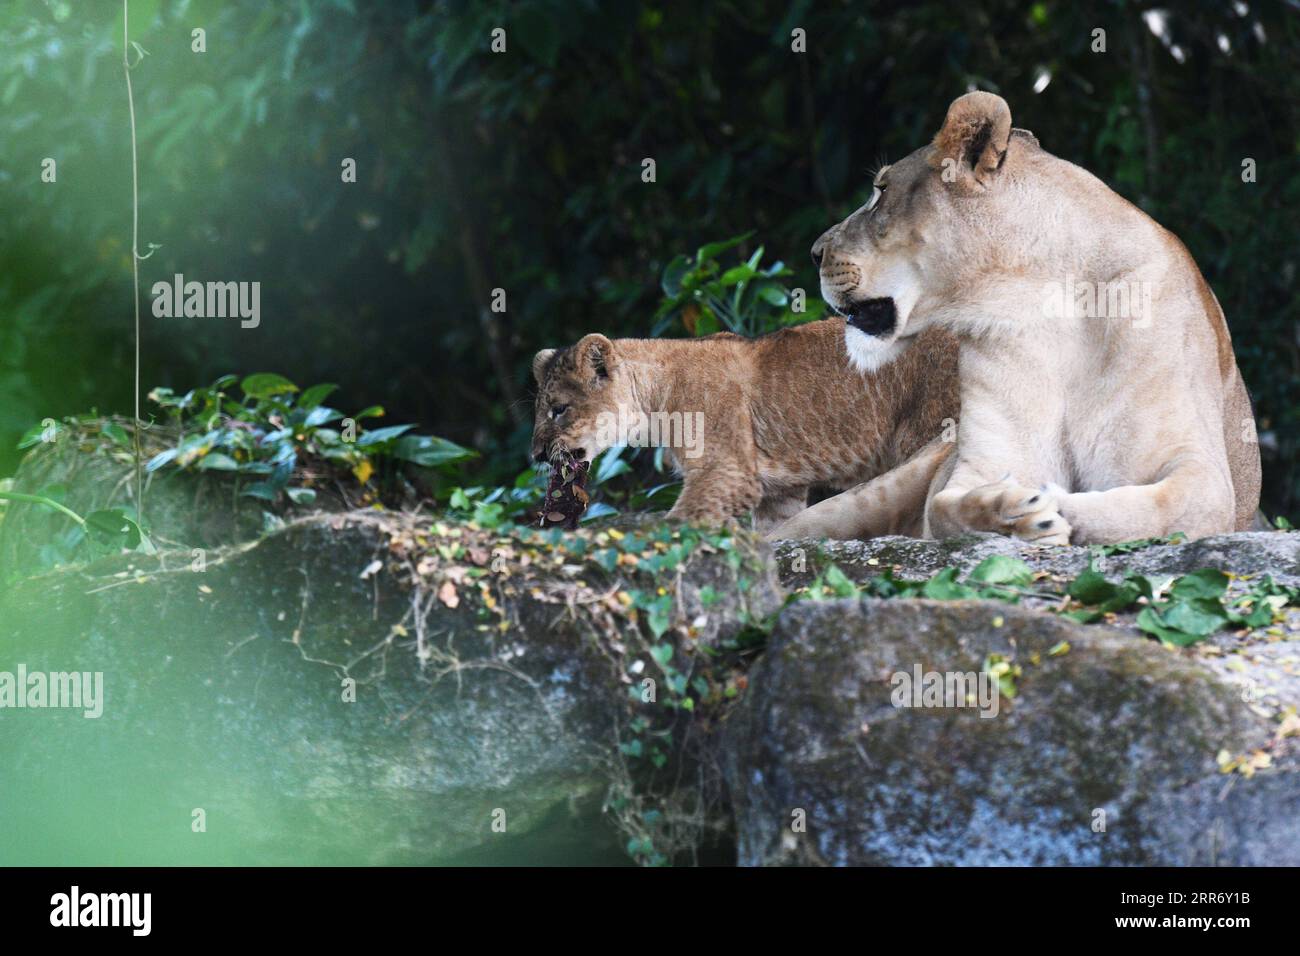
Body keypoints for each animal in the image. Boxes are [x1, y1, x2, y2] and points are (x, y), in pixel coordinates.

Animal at [529, 319, 959, 531]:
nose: (536, 455)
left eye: (558, 409)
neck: (655, 399)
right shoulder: (777, 492)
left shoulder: (728, 471)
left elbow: (681, 523)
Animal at [780, 90, 1261, 545]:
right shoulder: (986, 459)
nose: (815, 253)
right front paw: (1014, 512)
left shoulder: (1200, 471)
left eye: (881, 192)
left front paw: (1047, 505)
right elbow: (944, 507)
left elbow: (1149, 510)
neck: (1040, 300)